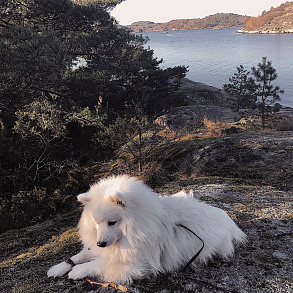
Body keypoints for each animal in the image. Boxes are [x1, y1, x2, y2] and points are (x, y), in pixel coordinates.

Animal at [47, 175, 244, 282]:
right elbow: (80, 255)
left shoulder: (138, 262)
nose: (100, 243)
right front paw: (59, 267)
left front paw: (78, 271)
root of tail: (225, 218)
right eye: (97, 222)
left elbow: (101, 263)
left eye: (112, 222)